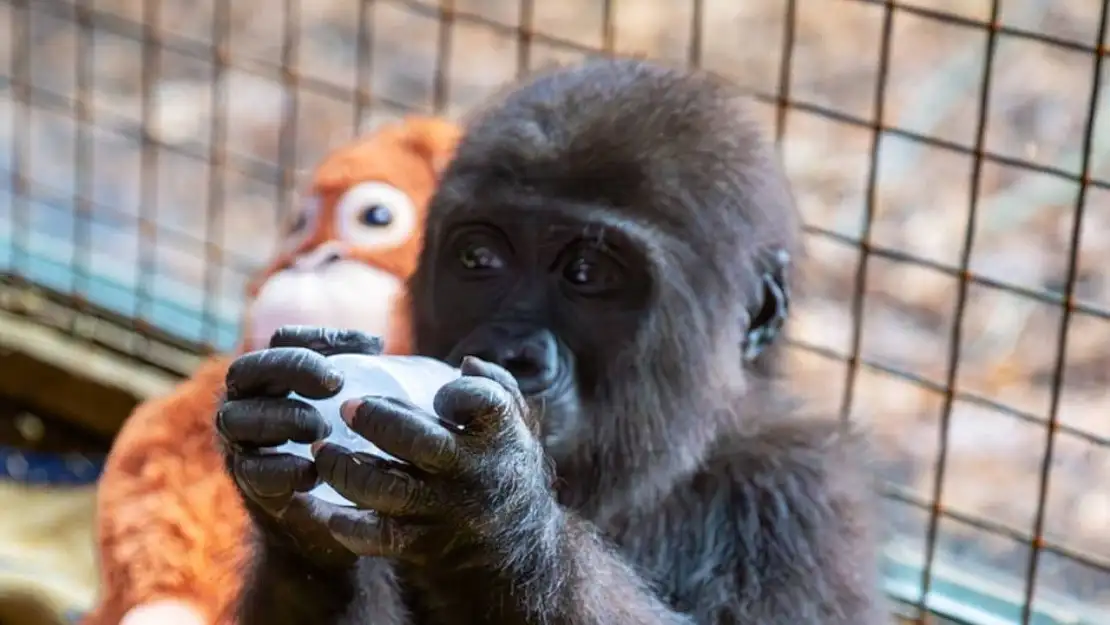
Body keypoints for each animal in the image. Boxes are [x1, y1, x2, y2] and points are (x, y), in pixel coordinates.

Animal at [214, 56, 883, 621]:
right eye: (479, 259)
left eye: (587, 274)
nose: (512, 353)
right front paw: (292, 529)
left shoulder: (799, 498)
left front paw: (493, 522)